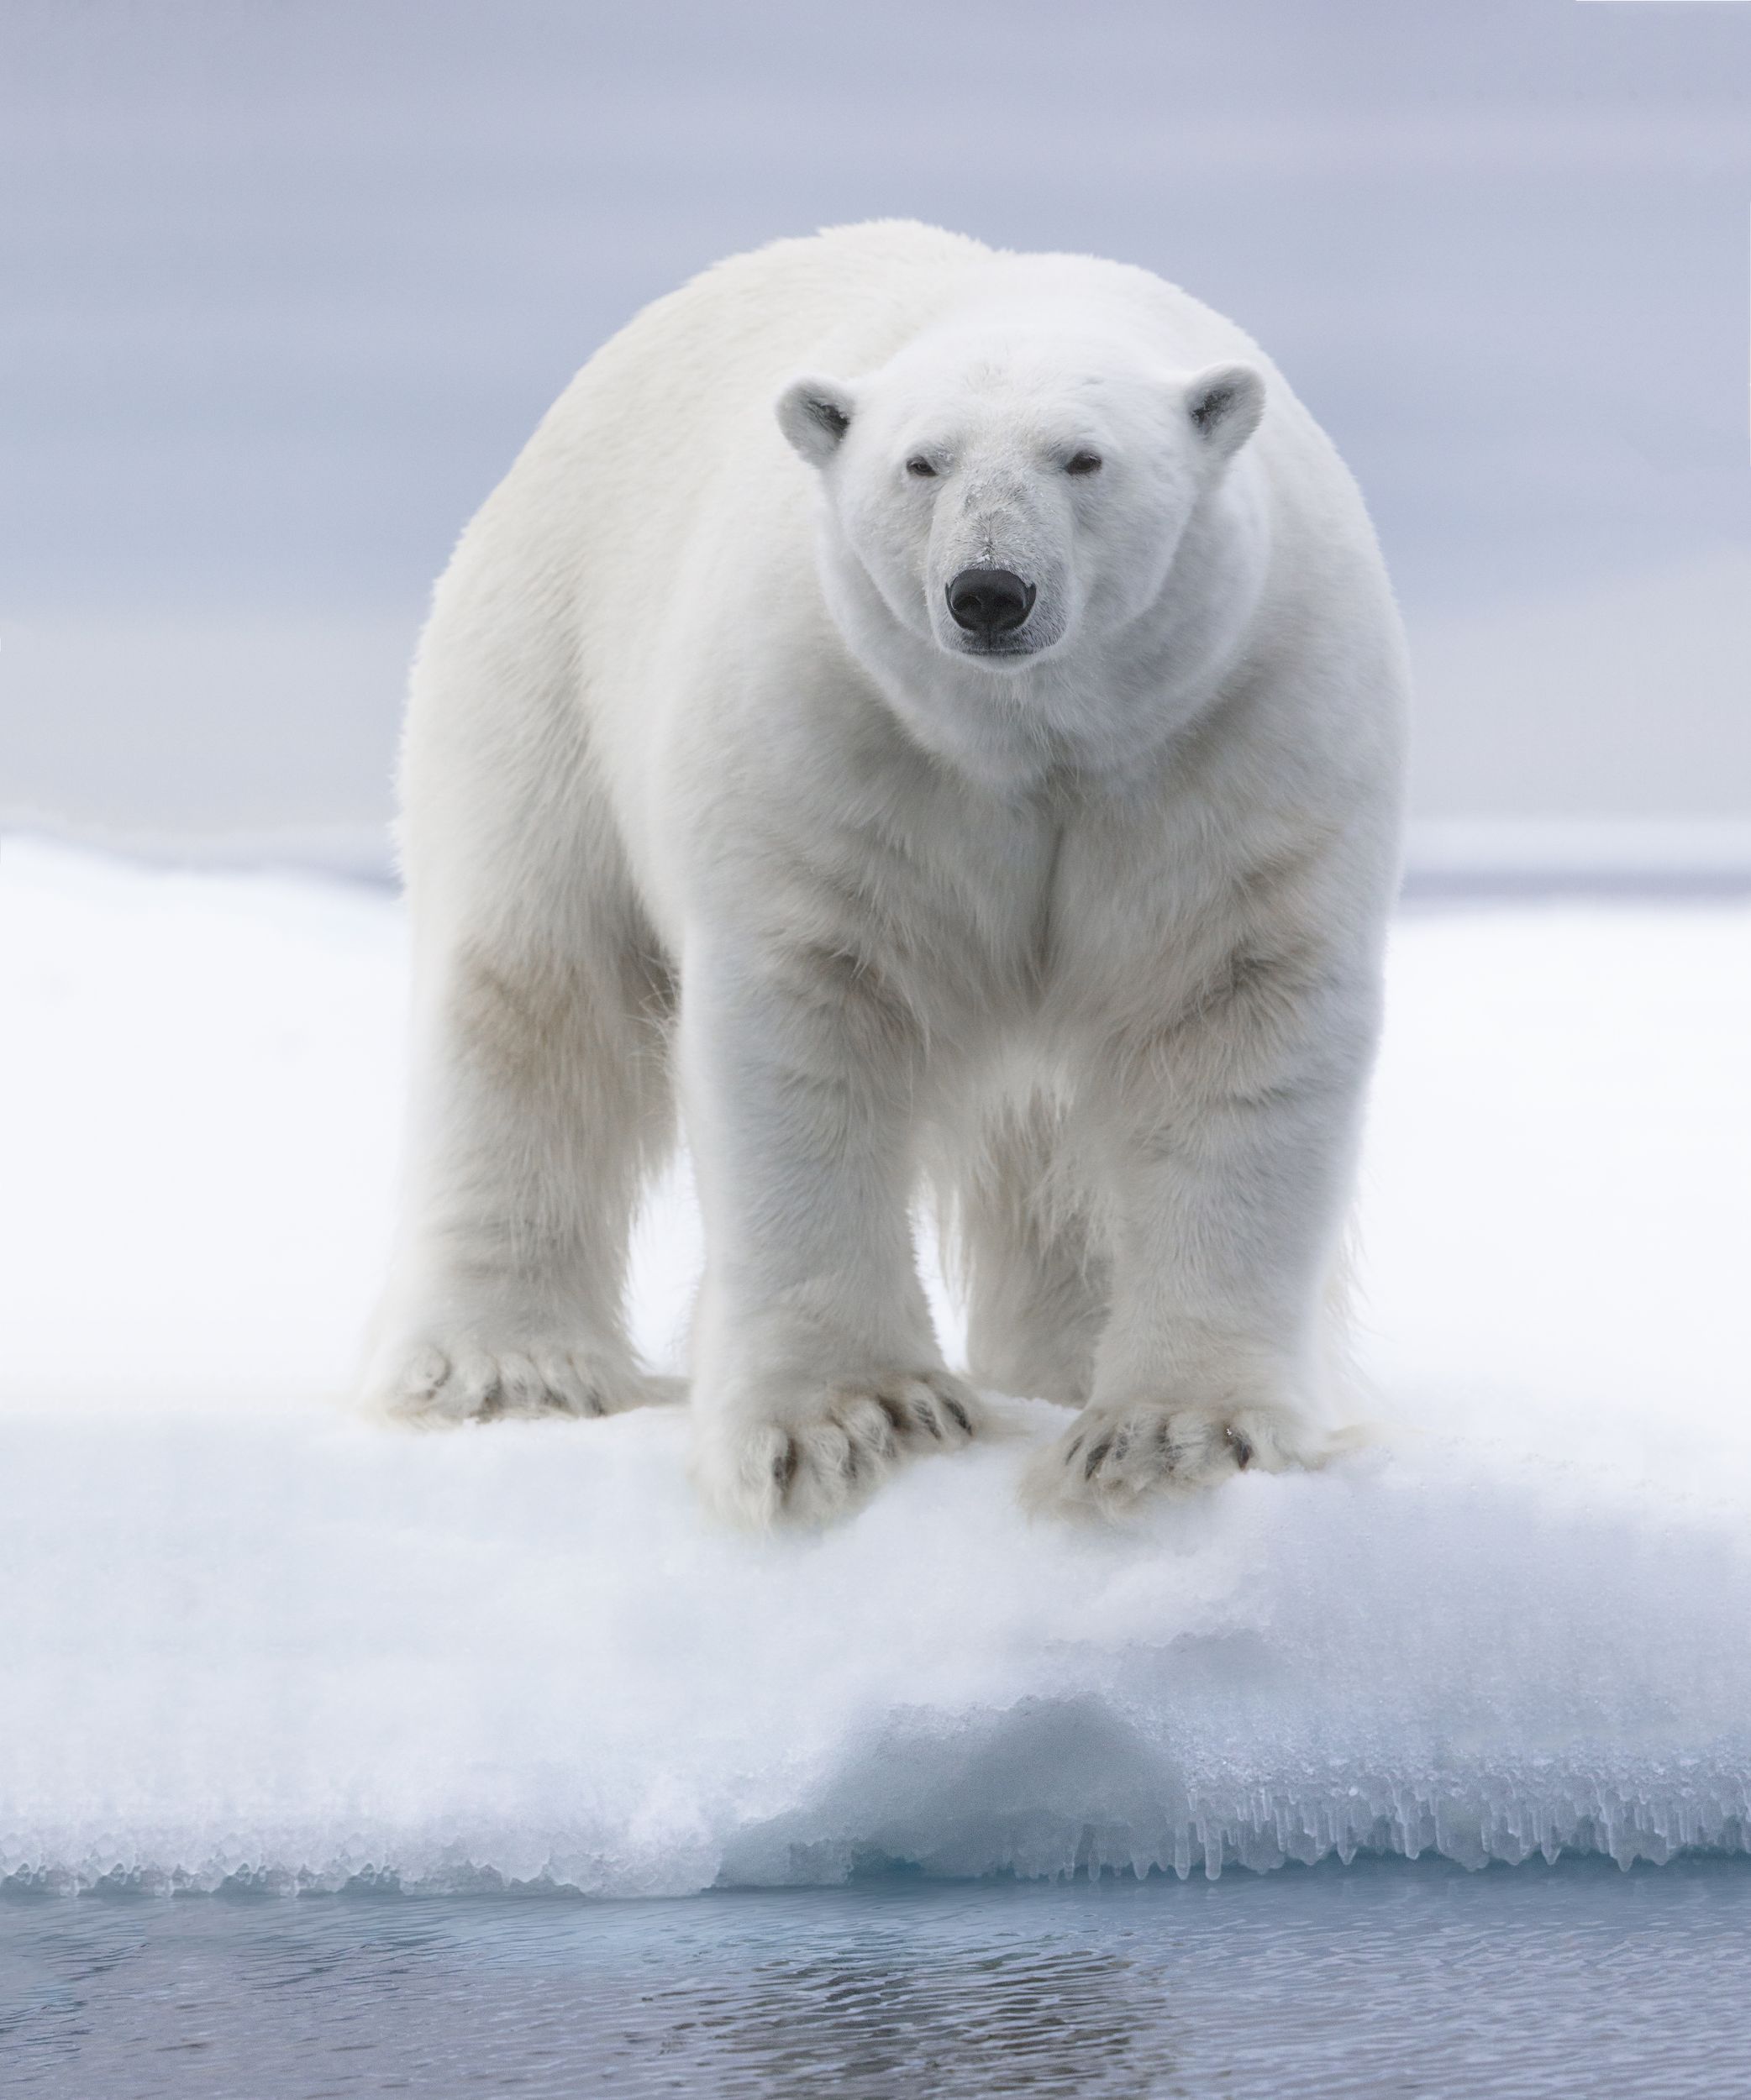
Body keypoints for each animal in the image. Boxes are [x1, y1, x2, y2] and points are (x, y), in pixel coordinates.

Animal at [365, 217, 1402, 1529]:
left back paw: (1061, 1360)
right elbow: (808, 1020)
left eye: (1085, 459)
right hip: (545, 668)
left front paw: (1170, 1436)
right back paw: (507, 1365)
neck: (1033, 744)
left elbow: (1230, 1020)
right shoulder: (830, 731)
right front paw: (858, 1422)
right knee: (537, 993)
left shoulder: (1239, 730)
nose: (989, 591)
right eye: (921, 463)